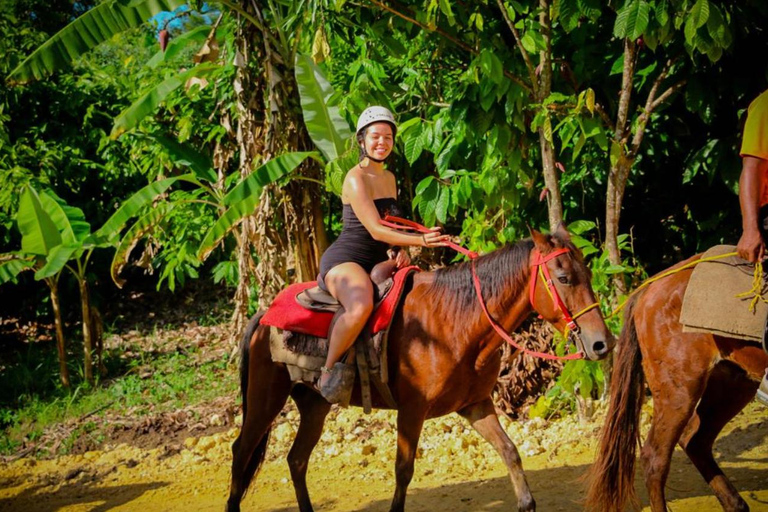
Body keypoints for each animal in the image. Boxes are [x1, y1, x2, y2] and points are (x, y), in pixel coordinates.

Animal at [226, 227, 612, 512]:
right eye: (563, 277)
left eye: (587, 273)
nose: (602, 343)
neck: (457, 319)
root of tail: (264, 315)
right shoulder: (412, 411)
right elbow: (403, 471)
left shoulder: (475, 405)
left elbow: (510, 452)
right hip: (265, 400)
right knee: (241, 452)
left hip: (315, 405)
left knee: (296, 460)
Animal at [584, 255, 764, 512]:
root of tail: (650, 287)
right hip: (680, 391)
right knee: (655, 458)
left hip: (734, 382)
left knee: (696, 440)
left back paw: (735, 505)